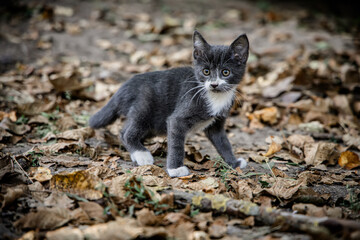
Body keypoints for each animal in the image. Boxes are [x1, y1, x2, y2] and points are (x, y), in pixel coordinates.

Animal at [88, 30, 249, 177]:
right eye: (206, 71)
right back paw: (142, 154)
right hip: (144, 105)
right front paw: (175, 169)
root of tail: (124, 86)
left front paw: (234, 163)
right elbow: (176, 144)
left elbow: (223, 142)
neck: (215, 96)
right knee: (128, 132)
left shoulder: (217, 124)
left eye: (226, 72)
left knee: (124, 132)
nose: (214, 84)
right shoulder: (178, 118)